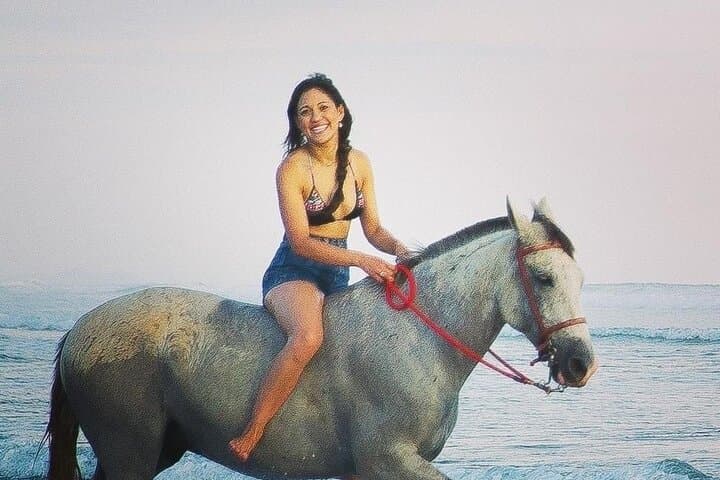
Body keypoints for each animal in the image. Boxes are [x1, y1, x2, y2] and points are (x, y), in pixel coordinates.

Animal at [45, 198, 597, 480]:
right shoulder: (388, 460)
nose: (580, 363)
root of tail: (79, 330)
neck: (419, 340)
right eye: (544, 278)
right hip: (130, 453)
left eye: (580, 279)